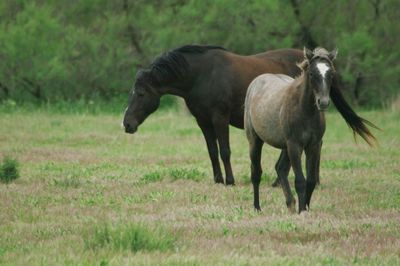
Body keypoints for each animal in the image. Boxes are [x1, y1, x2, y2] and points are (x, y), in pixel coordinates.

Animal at [122, 44, 376, 186]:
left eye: (141, 93)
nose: (127, 124)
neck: (201, 75)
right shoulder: (203, 121)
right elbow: (212, 152)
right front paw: (217, 180)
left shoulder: (219, 118)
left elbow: (224, 151)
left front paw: (230, 181)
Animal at [242, 47, 376, 214]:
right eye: (312, 73)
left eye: (331, 73)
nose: (323, 102)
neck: (304, 111)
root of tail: (255, 83)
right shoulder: (295, 146)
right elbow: (300, 180)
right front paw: (302, 211)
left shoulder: (313, 145)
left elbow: (311, 180)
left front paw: (304, 208)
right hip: (255, 140)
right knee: (256, 173)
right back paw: (257, 207)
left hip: (285, 147)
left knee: (281, 170)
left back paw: (290, 204)